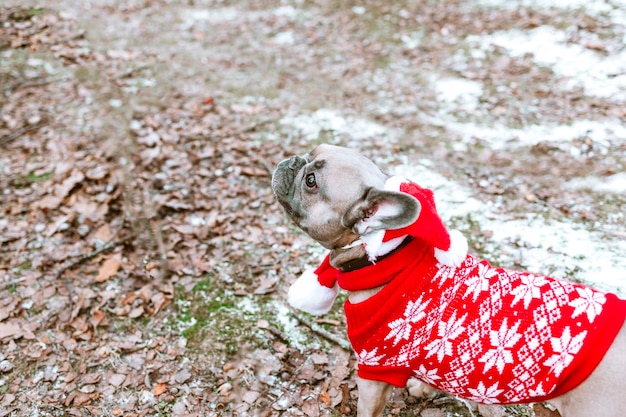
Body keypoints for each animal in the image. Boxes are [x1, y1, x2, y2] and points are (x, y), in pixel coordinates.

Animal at [272, 144, 624, 416]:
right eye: (310, 155)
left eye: (311, 181)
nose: (292, 161)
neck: (384, 257)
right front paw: (425, 388)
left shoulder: (374, 370)